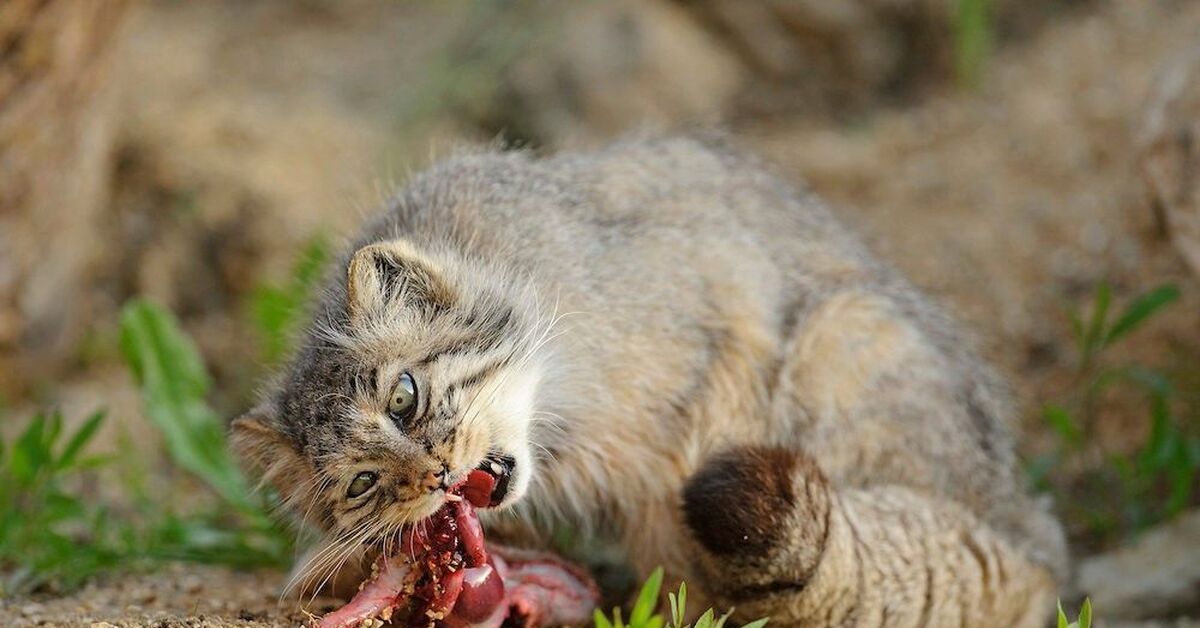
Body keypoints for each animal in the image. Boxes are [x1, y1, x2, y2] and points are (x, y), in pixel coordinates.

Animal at [234, 135, 1070, 624]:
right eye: (363, 485)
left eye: (404, 397)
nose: (436, 476)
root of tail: (1027, 517)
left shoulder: (722, 311)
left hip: (848, 335)